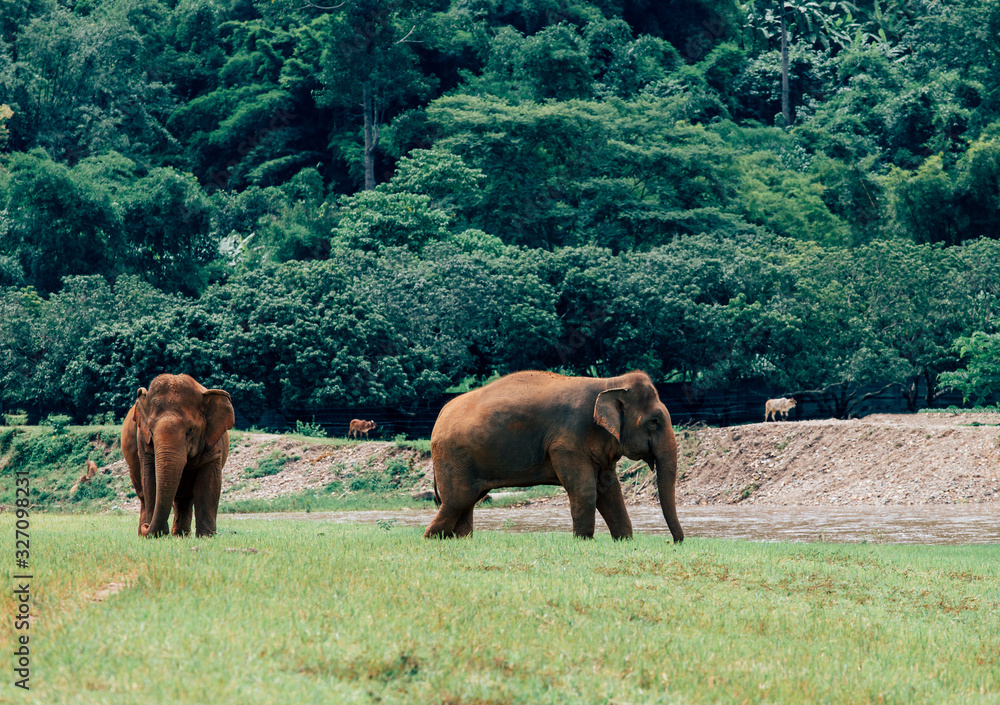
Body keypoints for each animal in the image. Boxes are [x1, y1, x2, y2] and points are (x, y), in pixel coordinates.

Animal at [121, 374, 235, 538]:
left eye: (190, 430)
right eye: (151, 430)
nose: (146, 527)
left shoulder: (213, 443)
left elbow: (209, 481)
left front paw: (206, 537)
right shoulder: (142, 440)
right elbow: (149, 478)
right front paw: (157, 535)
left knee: (184, 498)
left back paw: (179, 535)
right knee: (144, 494)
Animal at [425, 370, 683, 542]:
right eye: (654, 422)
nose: (674, 542)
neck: (609, 382)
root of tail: (439, 417)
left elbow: (609, 489)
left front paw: (623, 541)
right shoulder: (568, 441)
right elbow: (586, 489)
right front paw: (584, 542)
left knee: (466, 501)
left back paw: (459, 540)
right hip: (452, 456)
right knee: (457, 500)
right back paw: (432, 539)